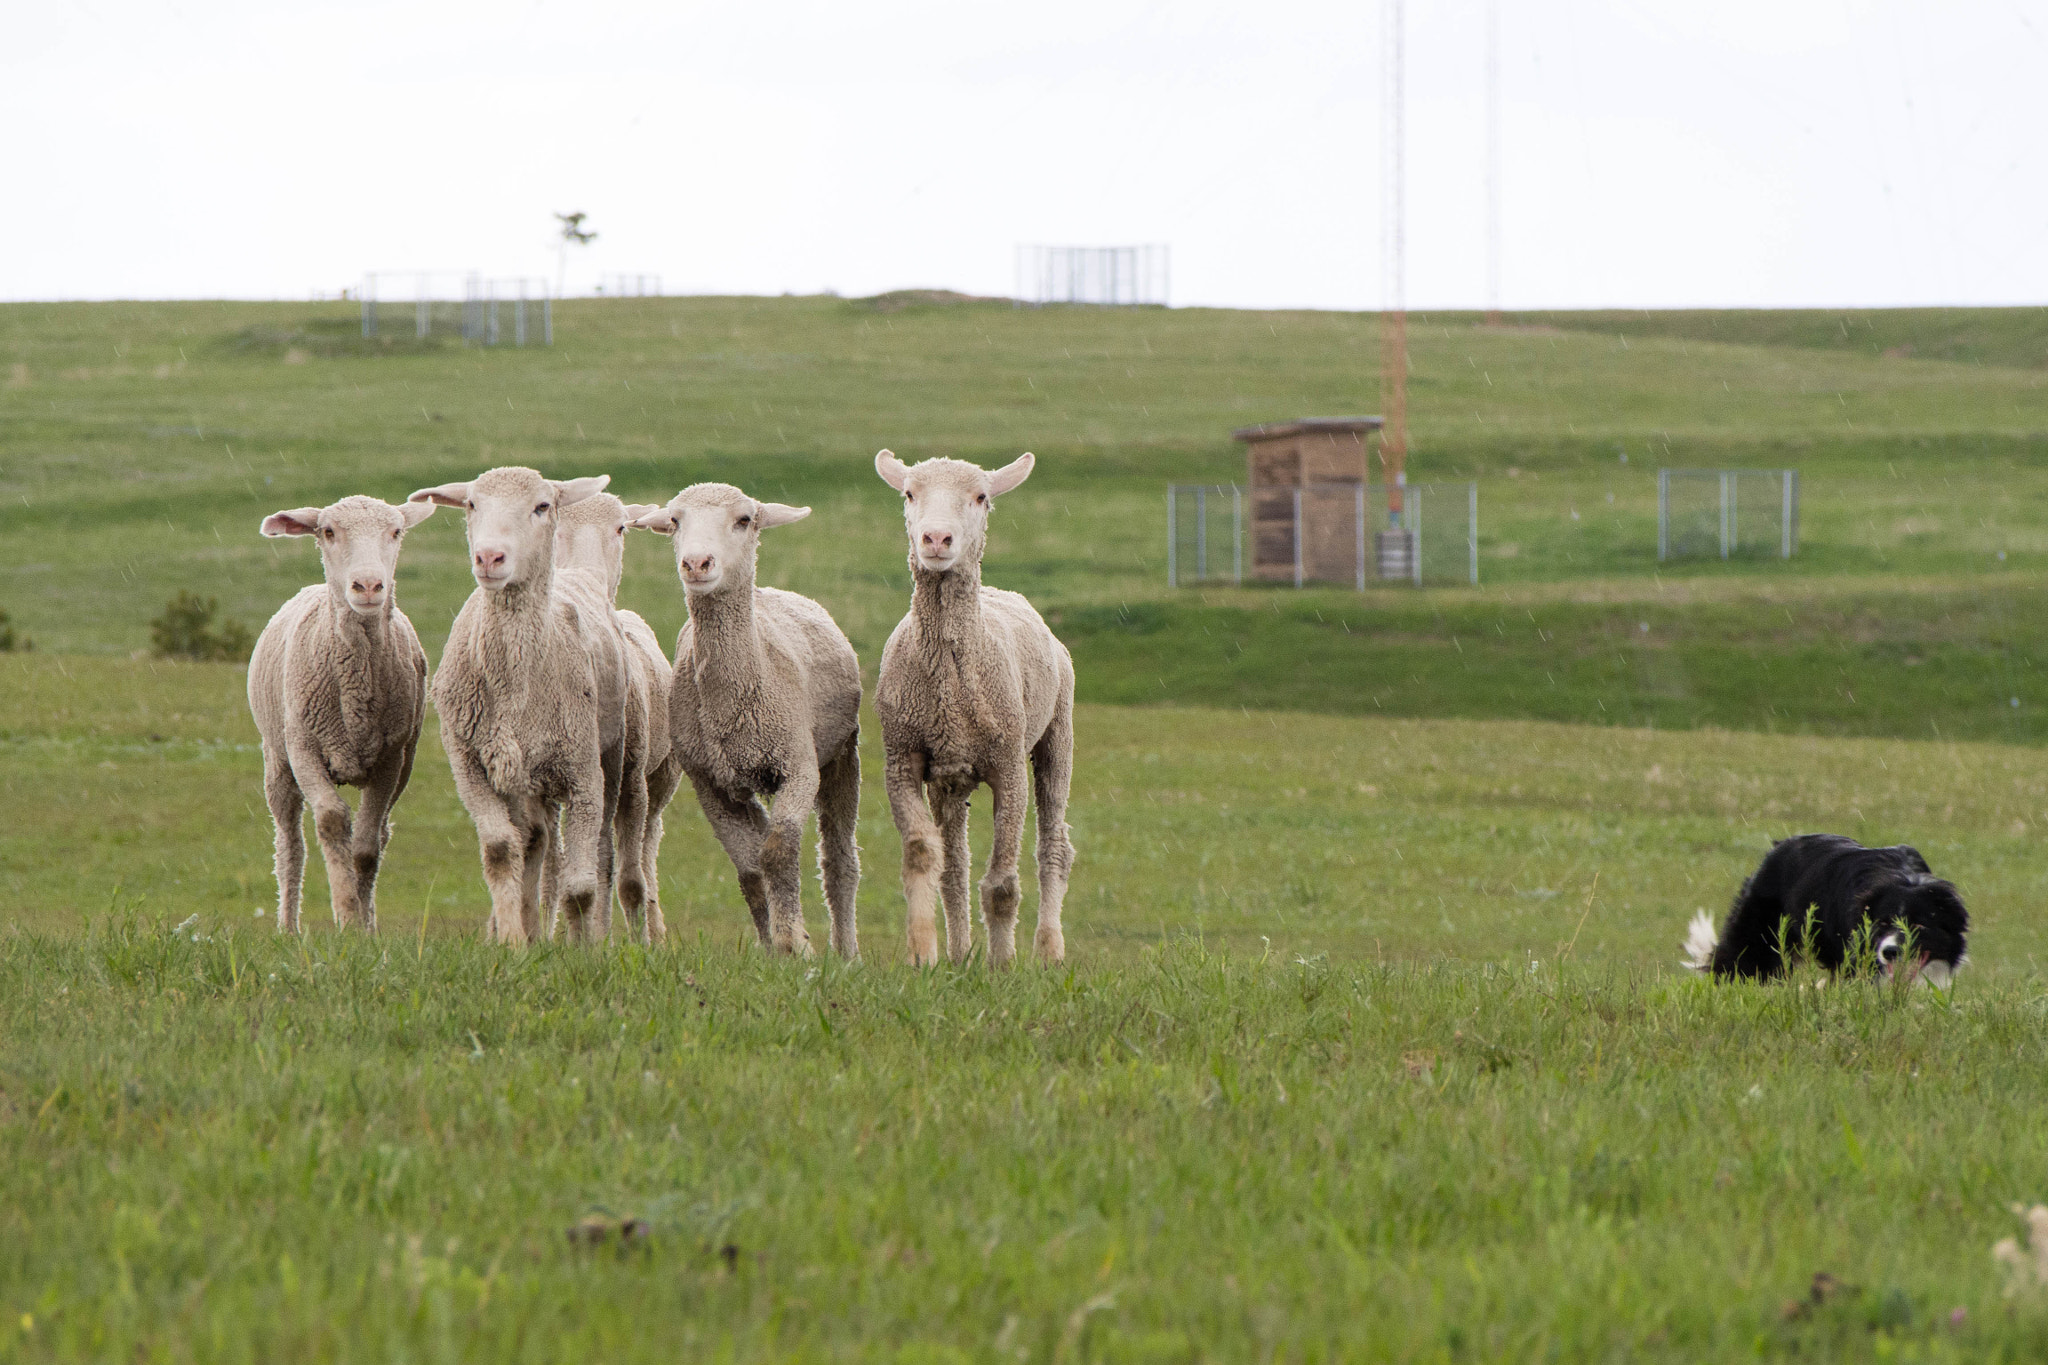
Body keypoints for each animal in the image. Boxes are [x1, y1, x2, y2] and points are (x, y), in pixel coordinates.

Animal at [248, 494, 436, 933]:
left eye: (396, 531)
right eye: (328, 532)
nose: (367, 586)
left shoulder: (390, 758)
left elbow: (366, 846)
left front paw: (362, 925)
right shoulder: (303, 748)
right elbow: (332, 821)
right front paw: (346, 914)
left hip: (404, 764)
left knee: (381, 835)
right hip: (277, 758)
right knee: (289, 845)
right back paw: (288, 927)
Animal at [408, 467, 625, 945]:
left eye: (542, 506)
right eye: (471, 504)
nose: (490, 557)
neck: (515, 687)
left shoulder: (584, 774)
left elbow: (579, 886)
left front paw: (583, 951)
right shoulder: (469, 764)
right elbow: (501, 850)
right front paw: (511, 942)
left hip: (610, 759)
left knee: (599, 856)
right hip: (521, 777)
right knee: (533, 840)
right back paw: (529, 930)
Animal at [551, 492, 682, 943]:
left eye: (621, 527)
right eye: (557, 524)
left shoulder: (632, 780)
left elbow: (627, 877)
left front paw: (637, 945)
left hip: (659, 779)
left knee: (647, 848)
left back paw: (655, 932)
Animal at [630, 483, 861, 957]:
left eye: (744, 520)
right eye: (674, 521)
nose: (696, 563)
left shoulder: (798, 766)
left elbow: (777, 854)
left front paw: (795, 945)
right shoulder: (711, 784)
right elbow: (752, 869)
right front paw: (773, 946)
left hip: (841, 753)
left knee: (839, 861)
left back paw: (847, 952)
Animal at [872, 450, 1075, 967]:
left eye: (981, 496)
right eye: (909, 493)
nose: (936, 539)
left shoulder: (1008, 766)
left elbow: (1002, 885)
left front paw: (1002, 965)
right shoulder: (902, 760)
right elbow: (924, 857)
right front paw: (922, 954)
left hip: (1057, 733)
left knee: (1054, 846)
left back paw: (1048, 950)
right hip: (951, 776)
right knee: (955, 866)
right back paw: (960, 954)